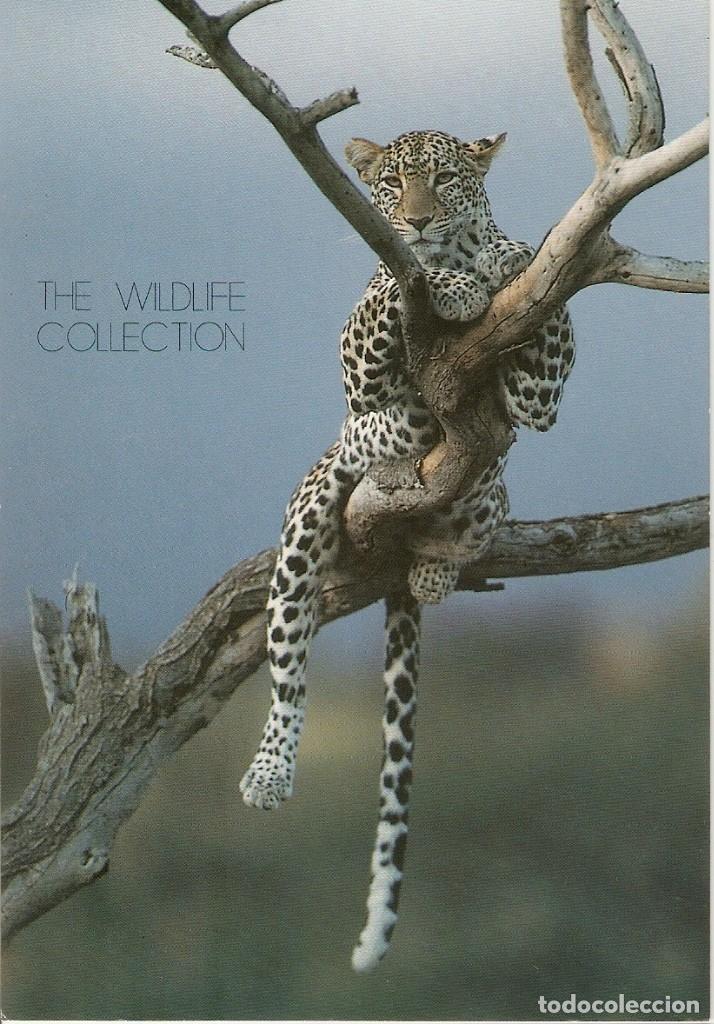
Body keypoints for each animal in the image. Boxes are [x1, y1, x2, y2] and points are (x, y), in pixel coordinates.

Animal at [239, 129, 575, 971]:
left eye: (447, 181)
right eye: (391, 183)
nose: (418, 221)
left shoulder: (537, 396)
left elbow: (539, 310)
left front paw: (505, 256)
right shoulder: (359, 364)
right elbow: (390, 291)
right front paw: (441, 279)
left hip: (490, 497)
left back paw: (431, 569)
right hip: (311, 514)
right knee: (288, 673)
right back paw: (268, 771)